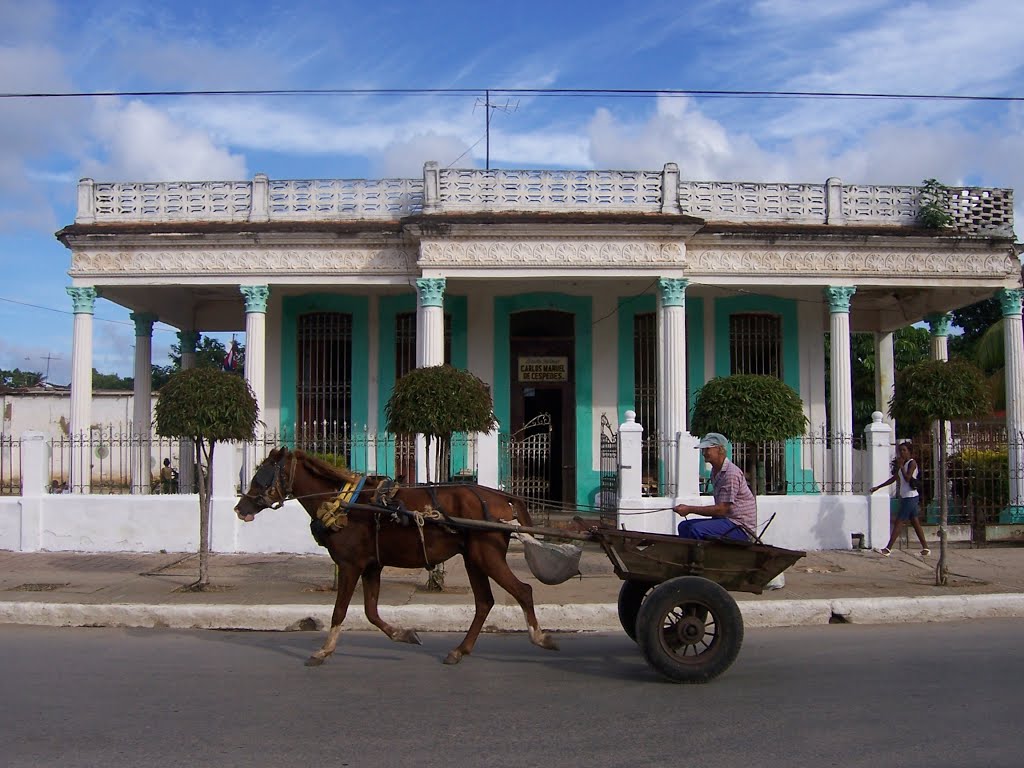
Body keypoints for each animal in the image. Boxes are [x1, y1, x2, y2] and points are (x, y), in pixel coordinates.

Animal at [234, 448, 561, 671]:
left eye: (262, 476)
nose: (240, 507)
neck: (342, 503)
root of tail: (502, 497)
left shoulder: (350, 565)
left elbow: (340, 611)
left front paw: (323, 651)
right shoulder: (372, 566)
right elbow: (370, 612)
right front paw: (404, 634)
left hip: (487, 555)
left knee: (522, 591)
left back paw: (540, 638)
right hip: (474, 558)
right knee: (484, 602)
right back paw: (460, 650)